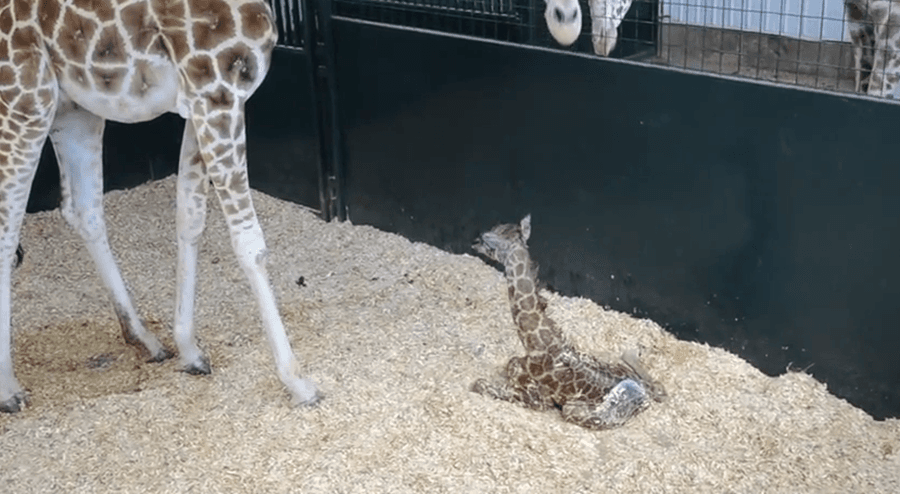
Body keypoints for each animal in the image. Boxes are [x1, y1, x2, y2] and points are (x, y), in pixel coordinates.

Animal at [0, 0, 321, 413]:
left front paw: (189, 349)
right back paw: (8, 388)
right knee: (8, 228)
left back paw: (145, 340)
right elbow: (250, 244)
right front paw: (297, 382)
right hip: (24, 101)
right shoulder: (218, 92)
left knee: (83, 209)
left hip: (73, 109)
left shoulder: (202, 100)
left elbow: (190, 218)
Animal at [471, 215, 666, 430]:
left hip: (574, 409)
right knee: (656, 386)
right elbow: (507, 368)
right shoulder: (516, 364)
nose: (474, 243)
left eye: (487, 241)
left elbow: (481, 384)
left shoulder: (540, 399)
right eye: (497, 227)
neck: (535, 343)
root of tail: (644, 394)